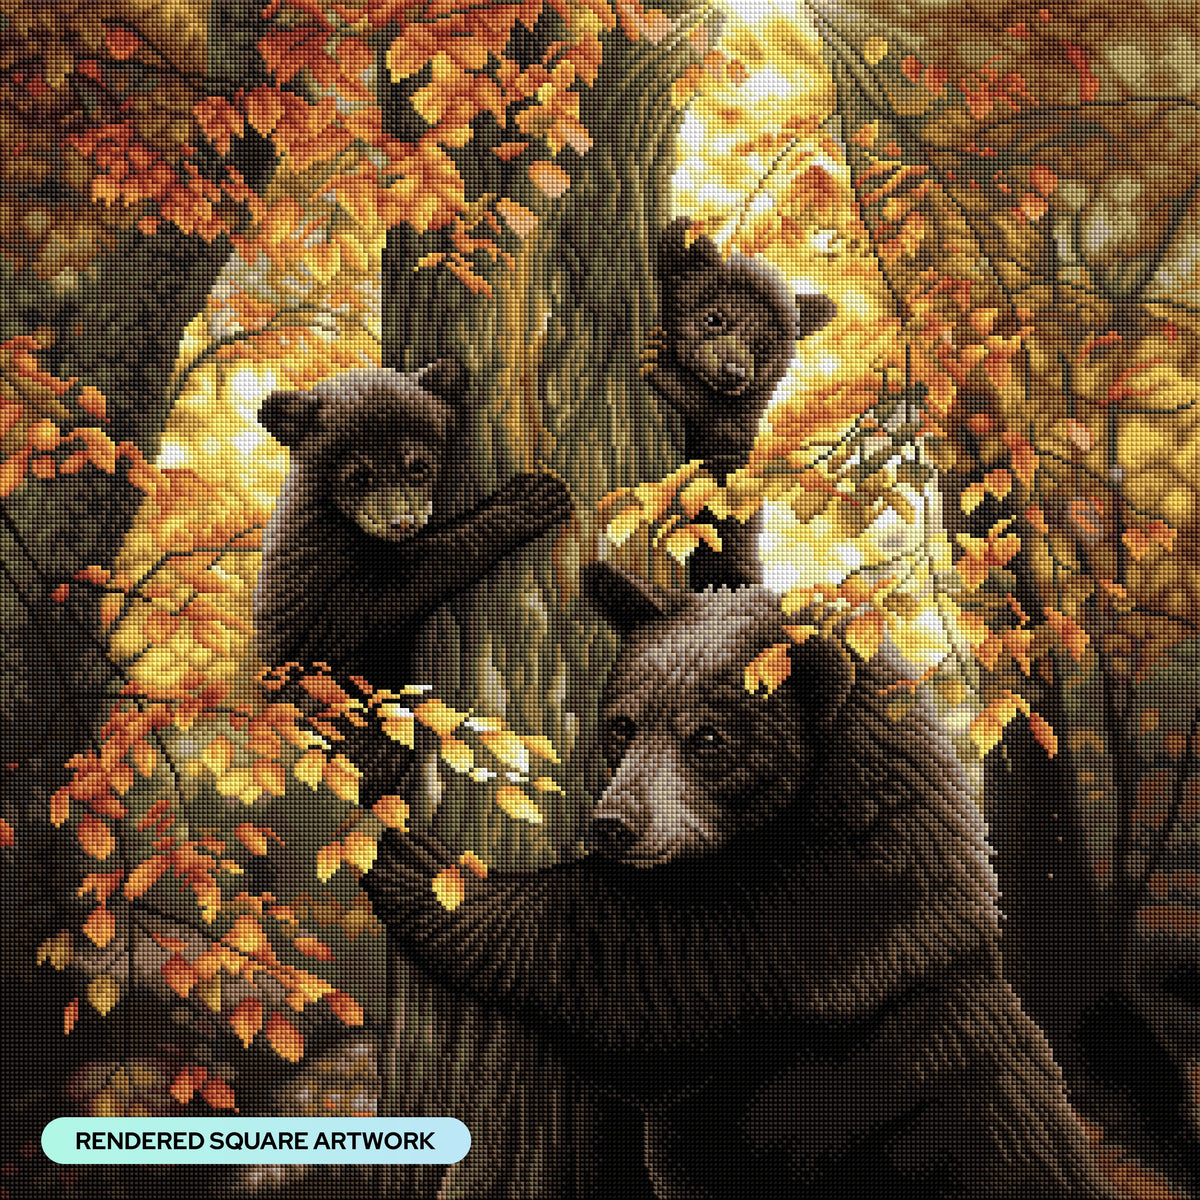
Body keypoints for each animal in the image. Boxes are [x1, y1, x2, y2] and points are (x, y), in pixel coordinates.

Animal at [253, 358, 572, 804]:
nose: (401, 522)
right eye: (359, 477)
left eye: (417, 466)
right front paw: (529, 500)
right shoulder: (326, 565)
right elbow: (388, 594)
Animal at [363, 562, 1121, 1200]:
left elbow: (662, 962)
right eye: (622, 725)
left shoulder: (835, 929)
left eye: (707, 739)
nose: (613, 825)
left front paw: (421, 870)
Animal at [641, 218, 835, 590]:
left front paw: (659, 361)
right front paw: (678, 233)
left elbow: (719, 426)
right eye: (714, 318)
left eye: (762, 346)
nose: (733, 372)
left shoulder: (741, 420)